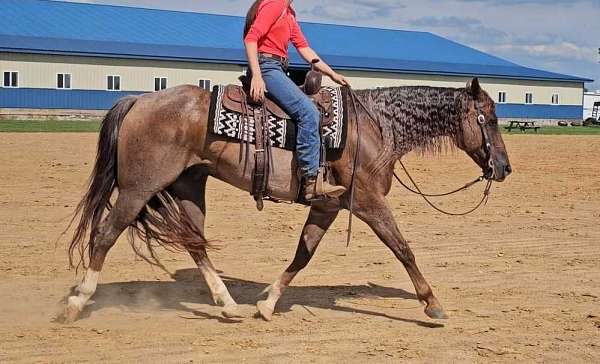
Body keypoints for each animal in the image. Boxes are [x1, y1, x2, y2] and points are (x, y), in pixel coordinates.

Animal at [64, 77, 510, 322]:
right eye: (488, 119)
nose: (504, 168)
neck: (375, 126)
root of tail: (139, 100)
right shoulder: (366, 201)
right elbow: (403, 248)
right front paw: (432, 304)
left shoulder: (328, 204)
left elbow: (303, 253)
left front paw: (267, 304)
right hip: (138, 188)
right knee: (105, 234)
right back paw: (77, 301)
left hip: (190, 185)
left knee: (195, 243)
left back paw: (228, 304)